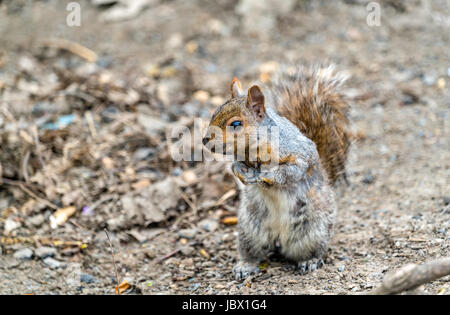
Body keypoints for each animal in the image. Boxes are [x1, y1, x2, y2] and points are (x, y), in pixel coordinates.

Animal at [201, 65, 352, 282]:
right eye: (214, 113)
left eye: (236, 124)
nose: (205, 140)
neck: (255, 150)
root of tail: (279, 238)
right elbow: (235, 167)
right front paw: (244, 173)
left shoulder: (300, 155)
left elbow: (291, 170)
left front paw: (269, 175)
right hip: (250, 230)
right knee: (253, 251)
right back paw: (246, 265)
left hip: (313, 230)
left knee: (312, 249)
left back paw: (310, 260)